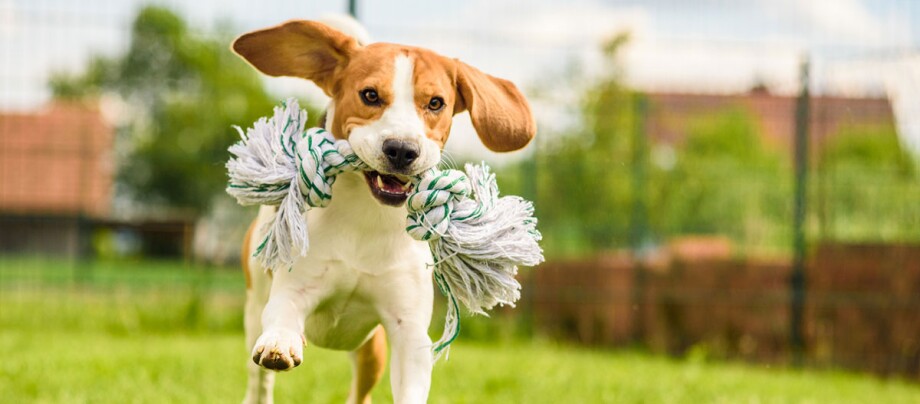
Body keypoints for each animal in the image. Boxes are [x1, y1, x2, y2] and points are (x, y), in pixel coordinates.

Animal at [234, 16, 536, 404]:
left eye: (436, 103)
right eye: (370, 95)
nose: (402, 149)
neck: (367, 219)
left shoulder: (408, 331)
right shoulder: (292, 290)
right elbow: (283, 316)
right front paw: (281, 342)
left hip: (370, 350)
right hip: (255, 307)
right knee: (259, 379)